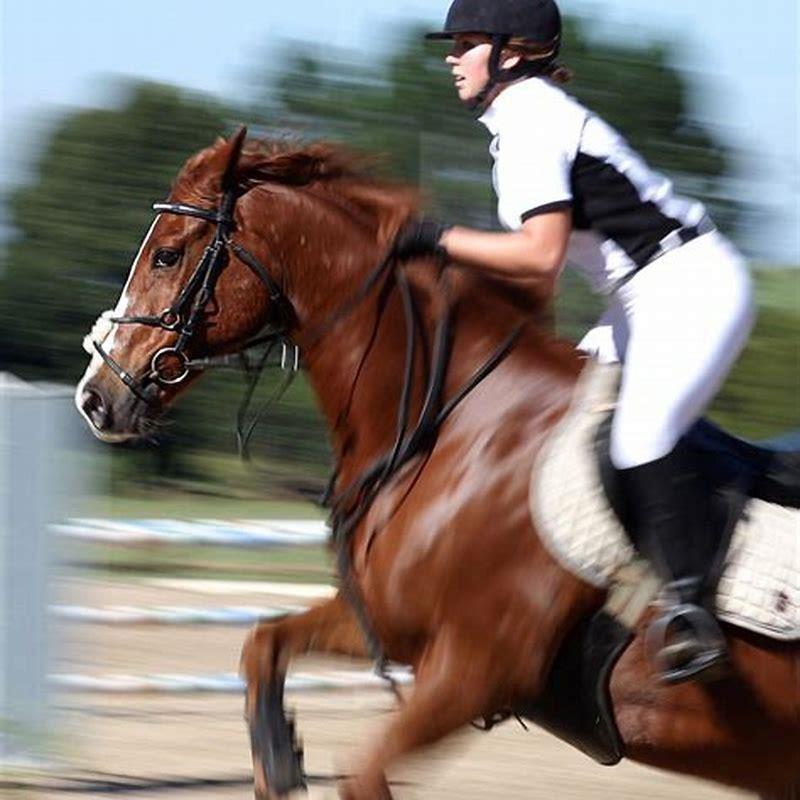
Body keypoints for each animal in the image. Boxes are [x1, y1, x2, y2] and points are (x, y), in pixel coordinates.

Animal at [75, 127, 800, 800]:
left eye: (168, 253)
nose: (95, 397)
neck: (449, 429)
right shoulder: (392, 629)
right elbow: (265, 642)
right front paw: (279, 758)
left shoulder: (476, 671)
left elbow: (362, 773)